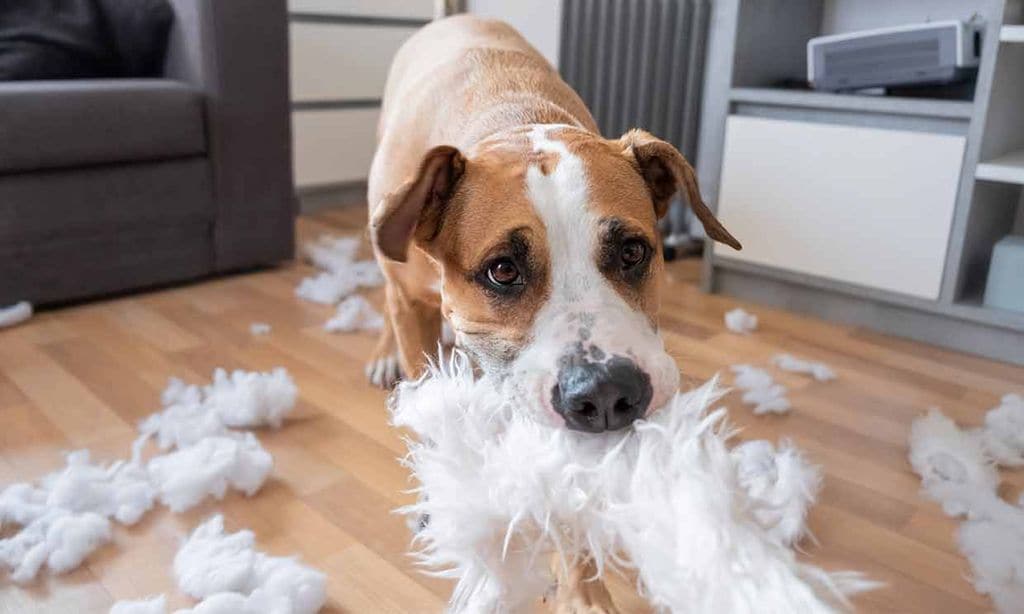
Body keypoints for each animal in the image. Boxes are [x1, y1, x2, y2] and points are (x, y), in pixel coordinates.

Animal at [364, 14, 741, 614]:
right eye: (502, 270)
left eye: (633, 252)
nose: (608, 393)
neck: (512, 123)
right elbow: (429, 418)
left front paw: (583, 592)